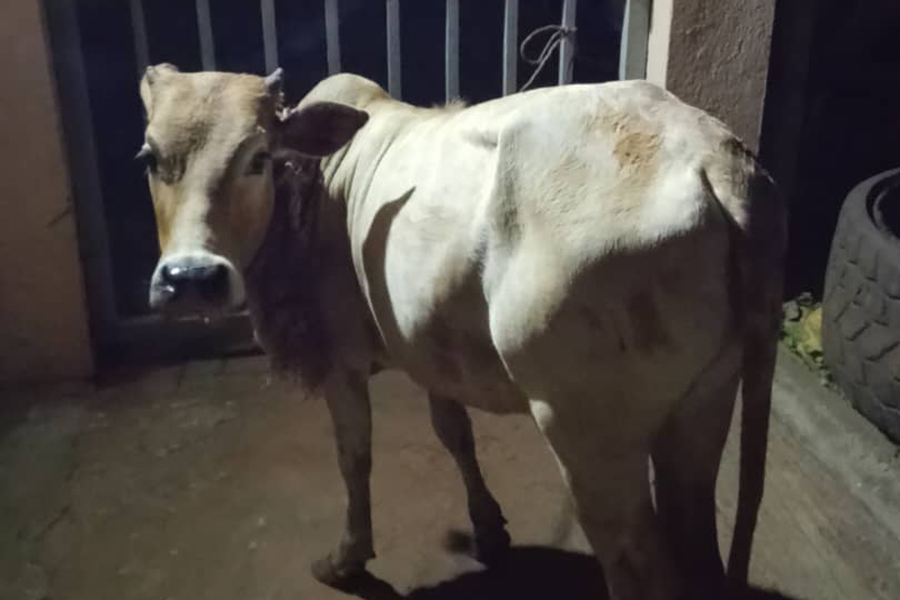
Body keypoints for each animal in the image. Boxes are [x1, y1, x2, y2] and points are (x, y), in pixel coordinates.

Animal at [138, 63, 786, 600]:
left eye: (258, 157)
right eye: (149, 157)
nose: (191, 278)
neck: (318, 185)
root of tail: (717, 159)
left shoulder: (342, 362)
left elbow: (354, 457)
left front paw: (346, 559)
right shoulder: (427, 346)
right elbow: (454, 433)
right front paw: (488, 527)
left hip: (587, 433)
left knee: (638, 567)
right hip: (704, 405)